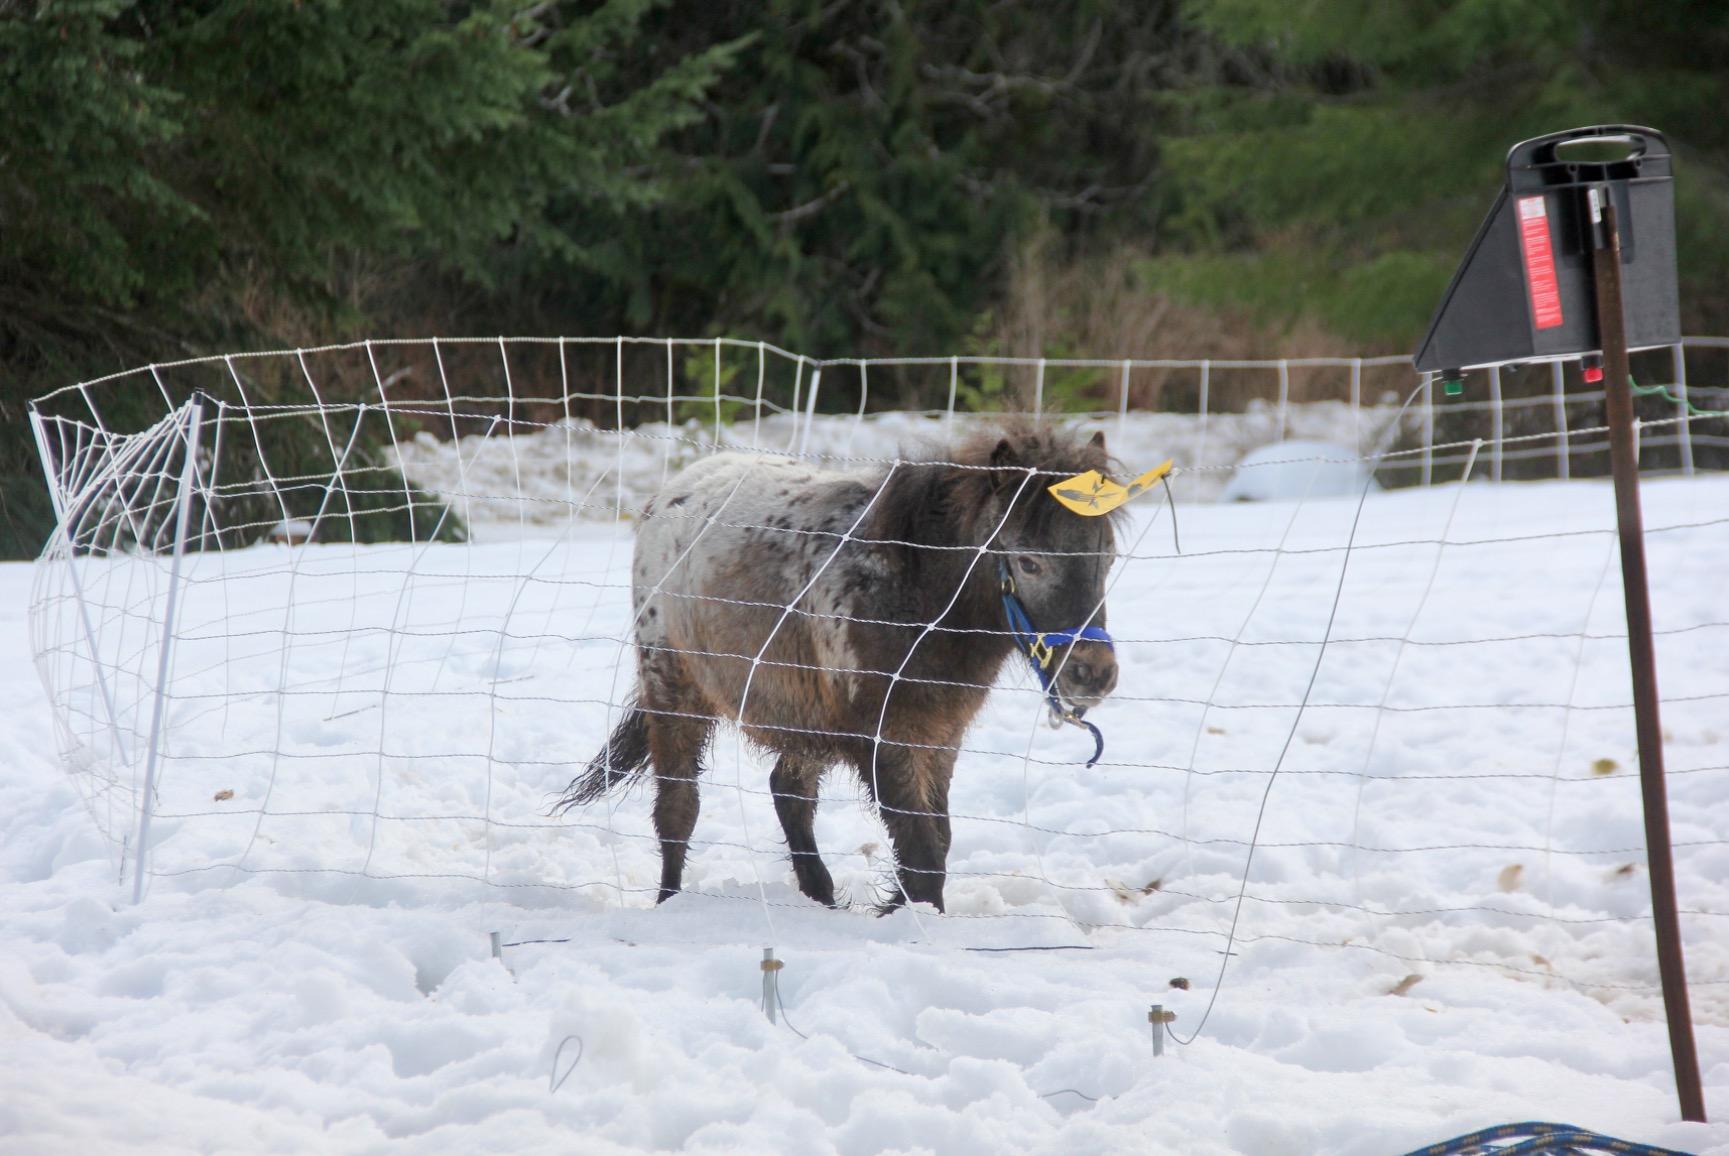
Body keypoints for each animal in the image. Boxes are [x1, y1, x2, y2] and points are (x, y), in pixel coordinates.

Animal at [556, 421, 1122, 913]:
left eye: (1107, 558)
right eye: (1028, 562)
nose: (1093, 672)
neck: (913, 590)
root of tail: (669, 494)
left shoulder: (938, 737)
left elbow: (936, 841)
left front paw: (896, 908)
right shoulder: (886, 741)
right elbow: (922, 852)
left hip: (801, 717)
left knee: (789, 796)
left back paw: (821, 899)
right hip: (675, 691)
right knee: (678, 809)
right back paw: (669, 903)